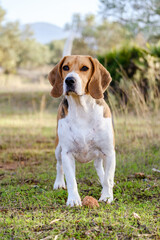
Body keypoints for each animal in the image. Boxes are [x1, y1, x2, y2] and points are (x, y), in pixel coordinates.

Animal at [48, 55, 115, 206]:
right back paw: (59, 183)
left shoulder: (109, 152)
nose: (69, 80)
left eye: (85, 68)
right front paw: (73, 199)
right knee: (59, 165)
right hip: (58, 149)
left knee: (99, 168)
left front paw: (107, 196)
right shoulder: (67, 154)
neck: (82, 109)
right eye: (65, 67)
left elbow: (108, 177)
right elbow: (71, 181)